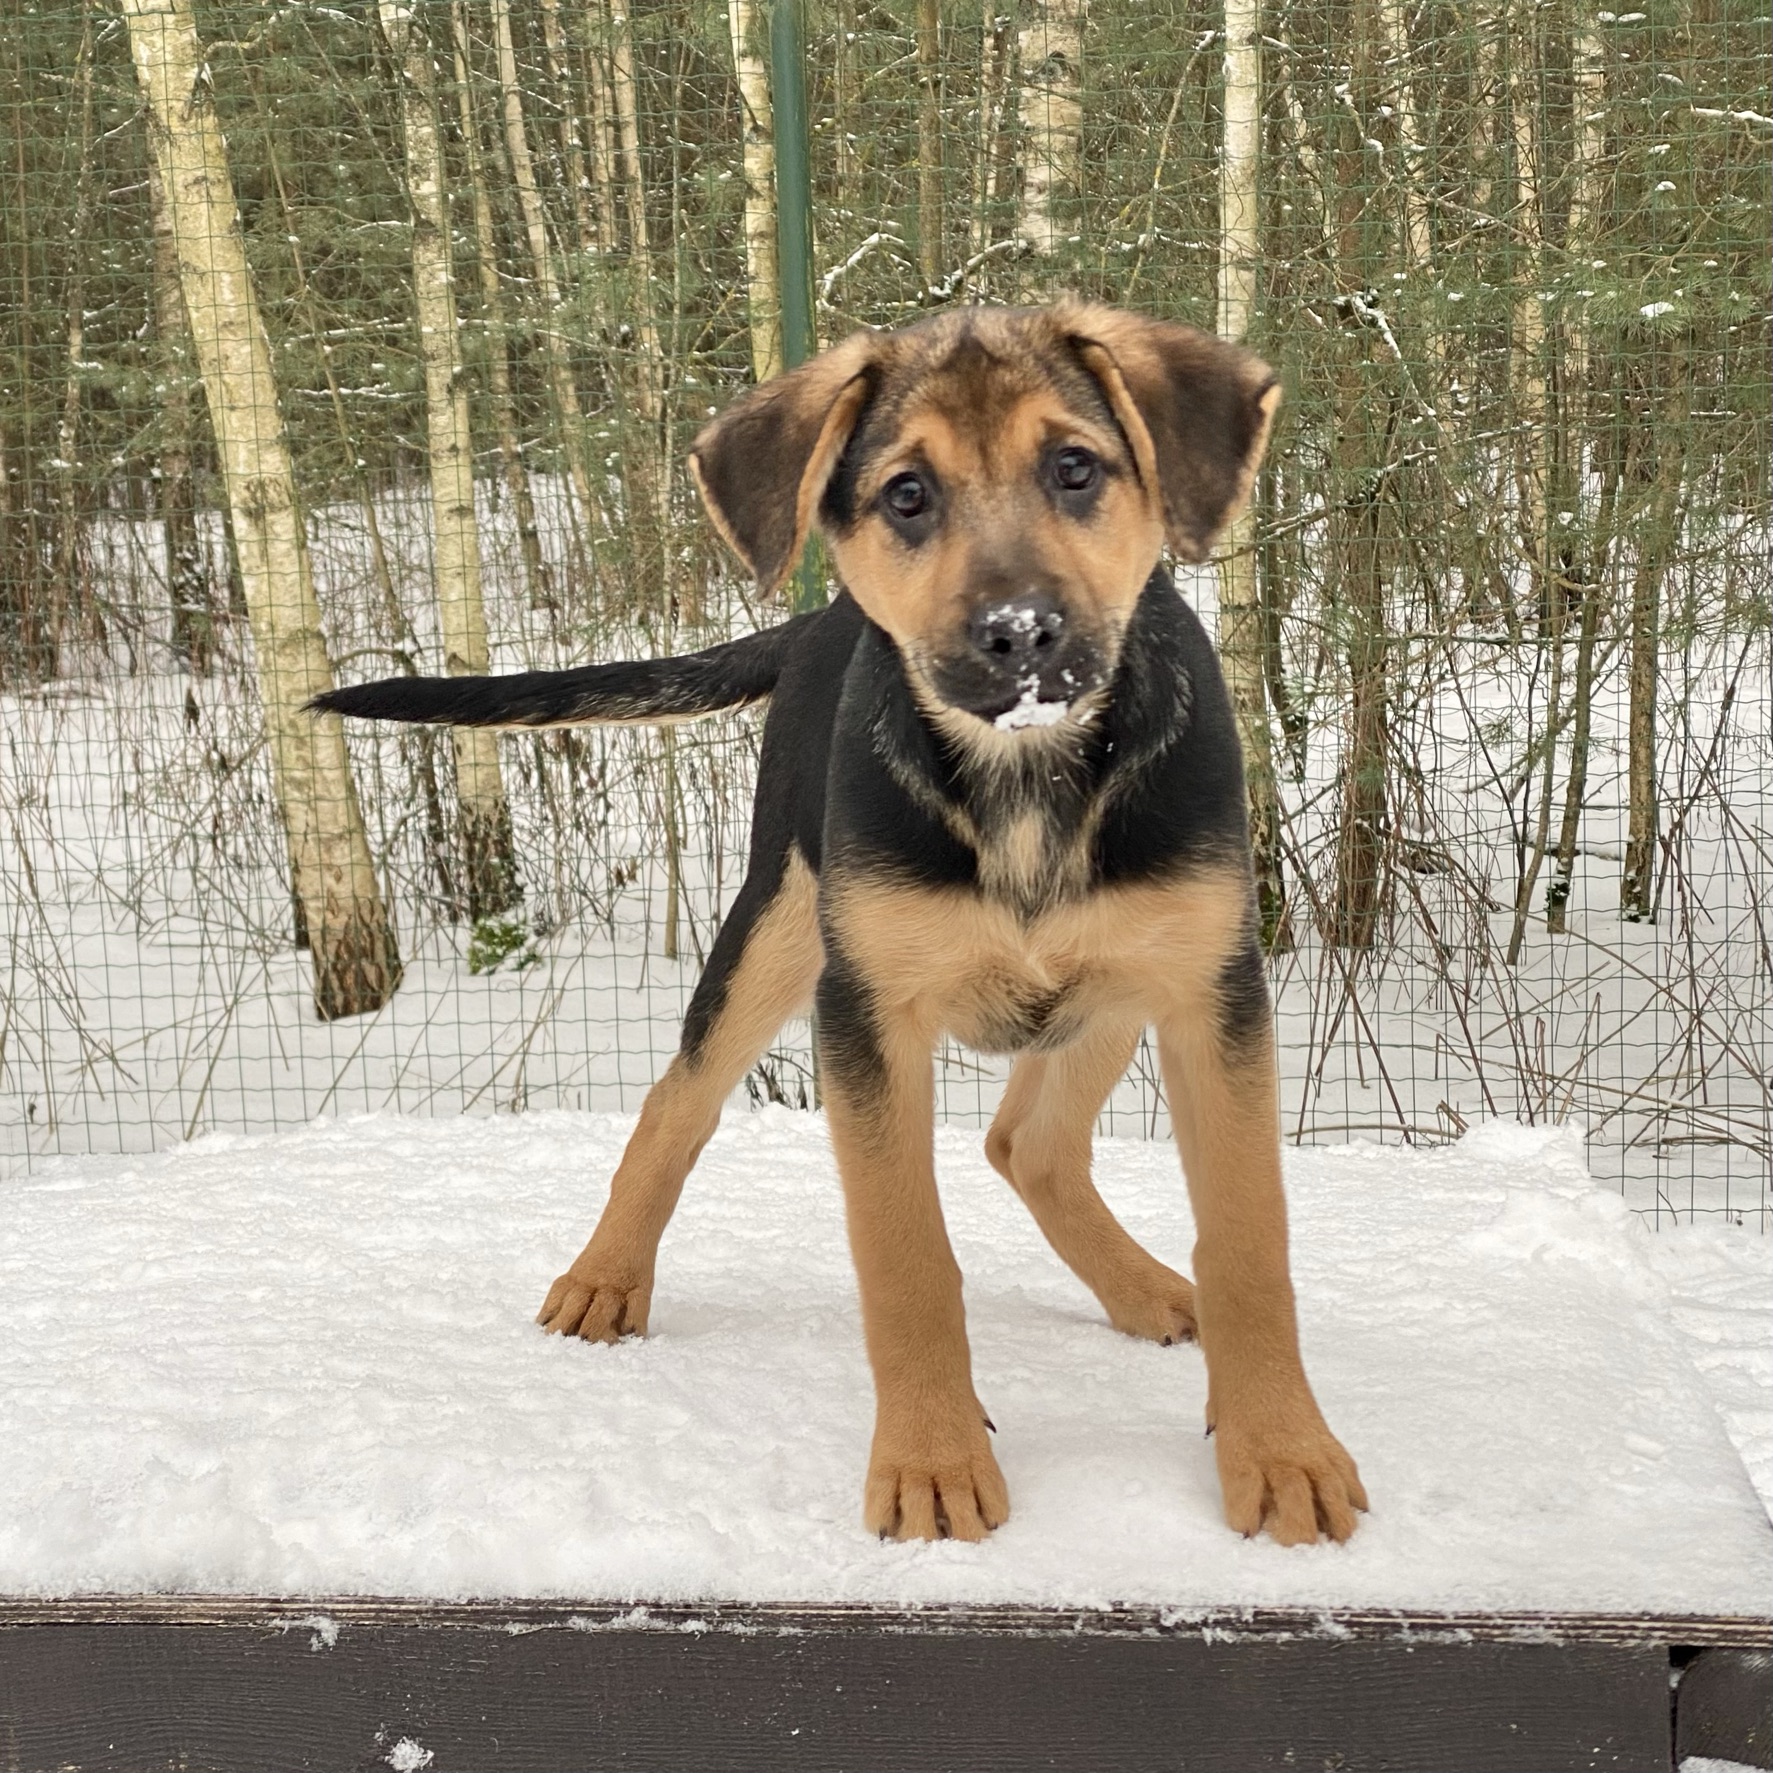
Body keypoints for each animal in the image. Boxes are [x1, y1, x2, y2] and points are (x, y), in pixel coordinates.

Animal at [313, 301, 1366, 1547]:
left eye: (1075, 468)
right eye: (906, 495)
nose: (1020, 633)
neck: (1024, 777)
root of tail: (819, 620)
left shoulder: (1213, 994)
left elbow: (1251, 1243)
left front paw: (1282, 1452)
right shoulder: (865, 1015)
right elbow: (905, 1259)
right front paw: (932, 1464)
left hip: (1121, 981)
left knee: (1028, 1140)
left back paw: (1144, 1287)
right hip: (779, 924)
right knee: (679, 1103)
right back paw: (607, 1278)